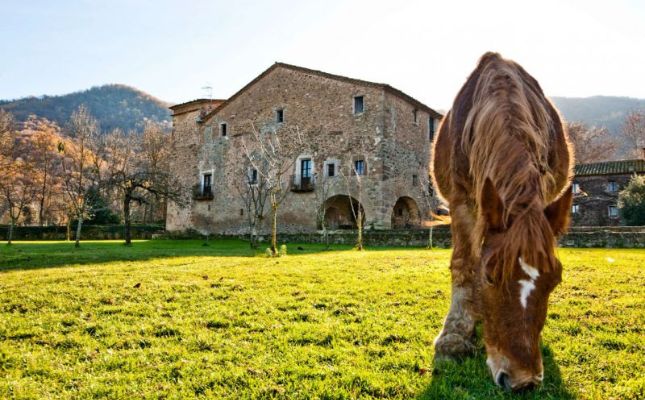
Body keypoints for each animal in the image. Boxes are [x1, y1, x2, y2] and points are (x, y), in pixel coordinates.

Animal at [430, 52, 572, 390]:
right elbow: (464, 264)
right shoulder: (461, 201)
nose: (523, 382)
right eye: (490, 277)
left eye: (555, 281)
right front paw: (454, 338)